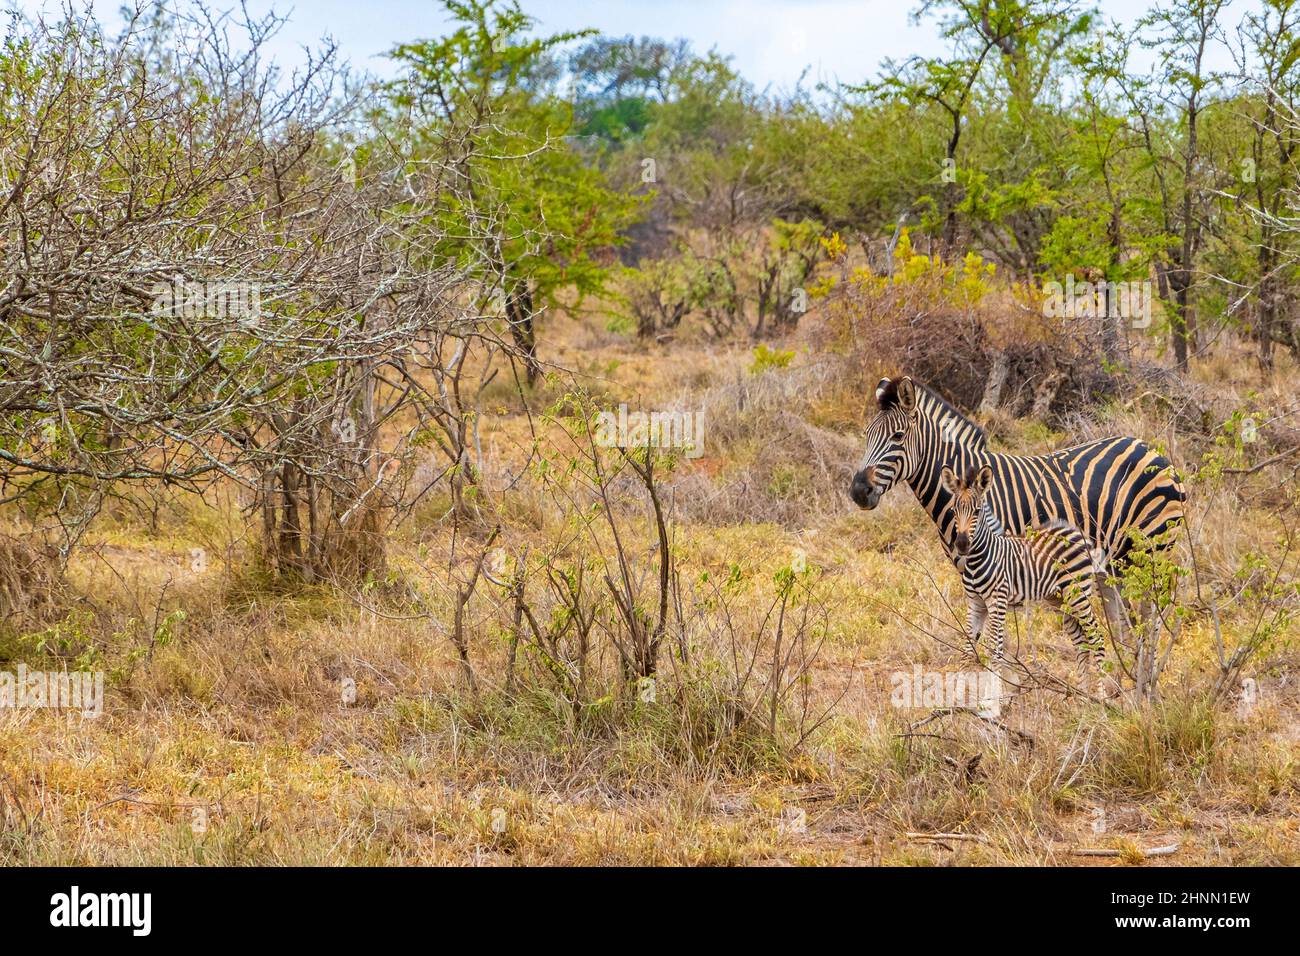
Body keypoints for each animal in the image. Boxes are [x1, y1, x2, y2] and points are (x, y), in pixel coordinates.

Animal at [852, 374, 1190, 642]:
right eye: (867, 435)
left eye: (897, 436)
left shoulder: (1006, 567)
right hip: (1113, 562)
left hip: (1153, 550)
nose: (857, 491)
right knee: (1123, 623)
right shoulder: (971, 575)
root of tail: (1152, 450)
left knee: (1151, 618)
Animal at [941, 465, 1112, 697]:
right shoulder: (975, 603)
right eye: (953, 511)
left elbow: (995, 650)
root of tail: (1076, 532)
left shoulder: (998, 601)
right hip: (1059, 599)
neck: (979, 557)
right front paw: (957, 698)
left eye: (976, 511)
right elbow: (967, 650)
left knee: (1096, 636)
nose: (961, 544)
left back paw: (1101, 698)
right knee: (1080, 641)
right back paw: (1083, 695)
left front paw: (993, 697)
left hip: (1079, 594)